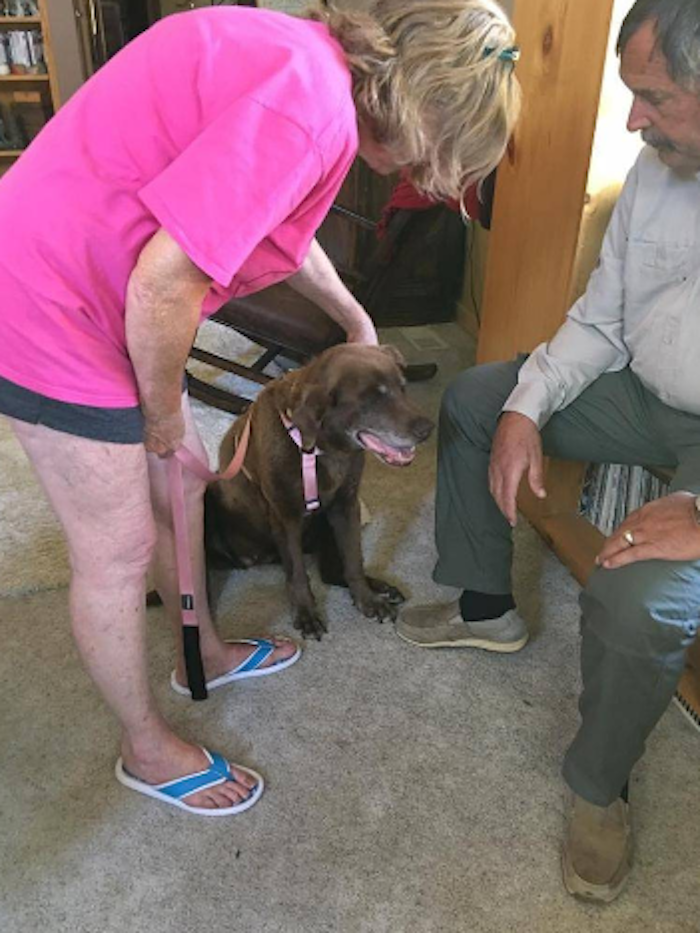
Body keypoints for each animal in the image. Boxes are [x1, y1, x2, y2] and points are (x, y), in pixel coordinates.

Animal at [204, 343, 434, 639]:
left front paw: (368, 600)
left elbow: (353, 559)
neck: (319, 448)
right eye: (372, 399)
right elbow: (298, 574)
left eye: (403, 388)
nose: (428, 430)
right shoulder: (286, 517)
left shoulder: (346, 505)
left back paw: (381, 588)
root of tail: (255, 559)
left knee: (332, 571)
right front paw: (306, 614)